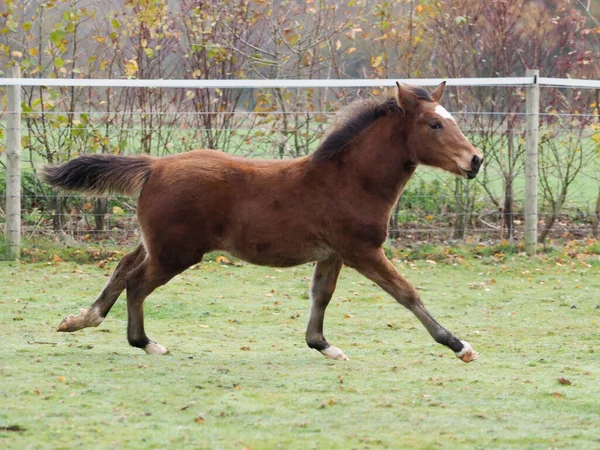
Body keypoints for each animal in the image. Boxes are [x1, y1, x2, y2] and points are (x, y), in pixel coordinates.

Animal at [42, 81, 482, 362]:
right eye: (435, 124)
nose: (475, 160)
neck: (350, 180)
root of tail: (155, 165)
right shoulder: (362, 250)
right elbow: (406, 292)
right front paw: (458, 345)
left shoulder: (333, 253)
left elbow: (321, 295)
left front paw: (322, 345)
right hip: (176, 252)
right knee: (136, 282)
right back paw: (145, 343)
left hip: (159, 243)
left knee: (123, 266)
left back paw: (79, 320)